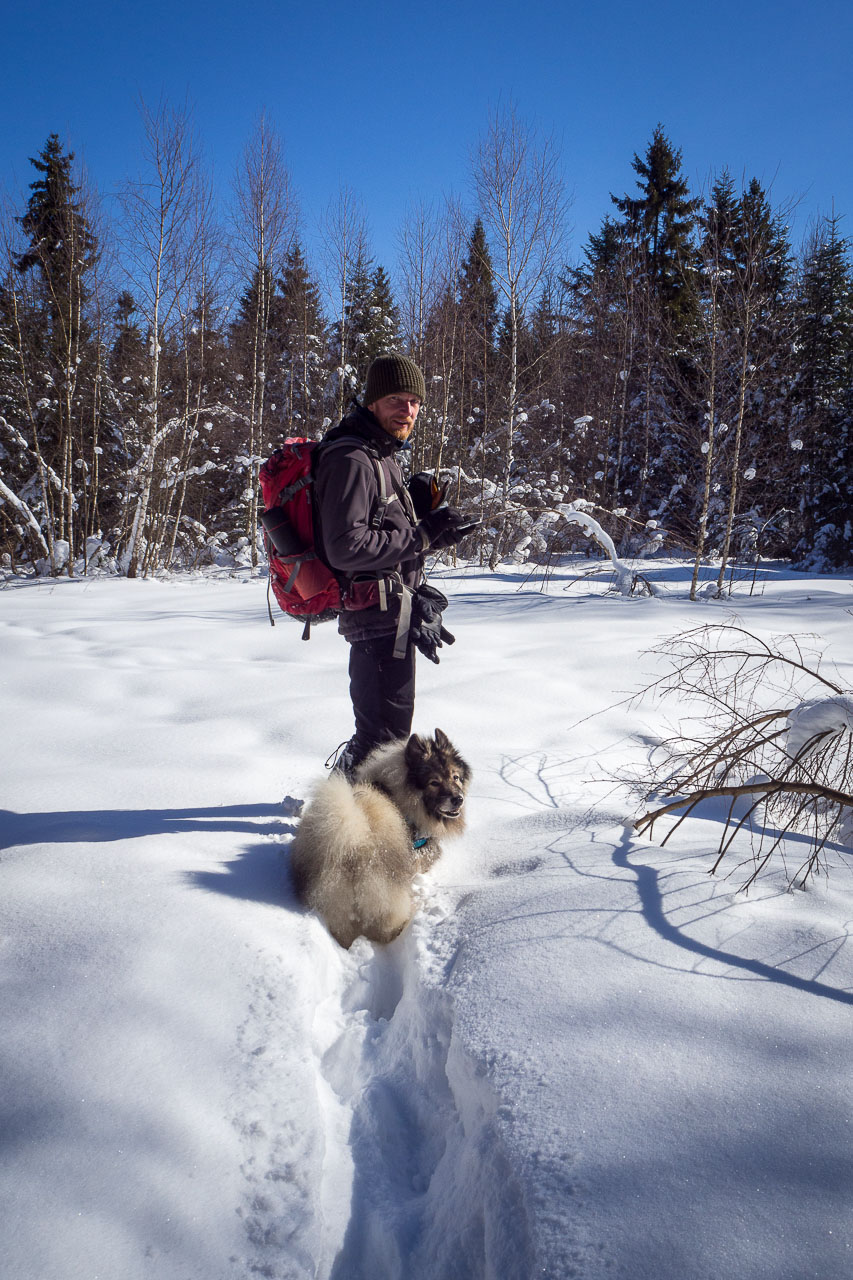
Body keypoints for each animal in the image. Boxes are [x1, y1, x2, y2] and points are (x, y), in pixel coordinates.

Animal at [289, 732, 468, 952]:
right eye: (434, 782)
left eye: (455, 777)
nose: (458, 799)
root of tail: (355, 845)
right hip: (386, 898)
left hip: (335, 902)